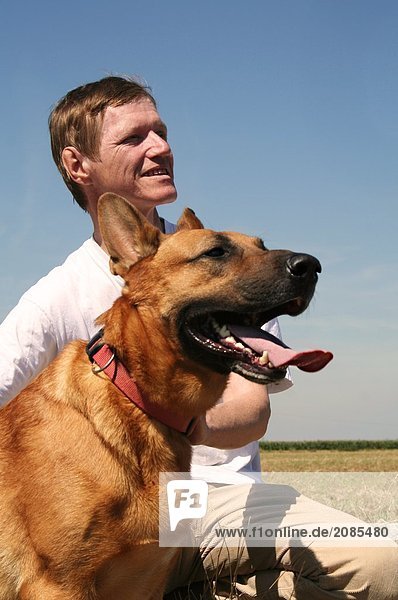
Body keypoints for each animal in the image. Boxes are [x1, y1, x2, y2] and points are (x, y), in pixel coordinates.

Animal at [0, 195, 332, 596]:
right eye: (215, 252)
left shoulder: (145, 583)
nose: (312, 266)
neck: (134, 398)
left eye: (262, 245)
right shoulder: (58, 583)